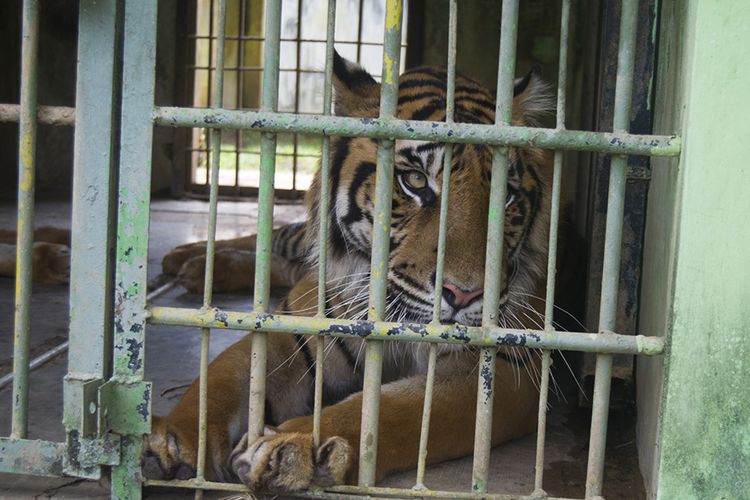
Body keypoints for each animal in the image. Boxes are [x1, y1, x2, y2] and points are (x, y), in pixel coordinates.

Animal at [142, 51, 560, 492]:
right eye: (415, 181)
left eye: (507, 196)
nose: (464, 294)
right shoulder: (292, 334)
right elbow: (220, 381)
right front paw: (171, 442)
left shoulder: (504, 368)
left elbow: (394, 409)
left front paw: (296, 448)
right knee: (277, 239)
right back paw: (187, 261)